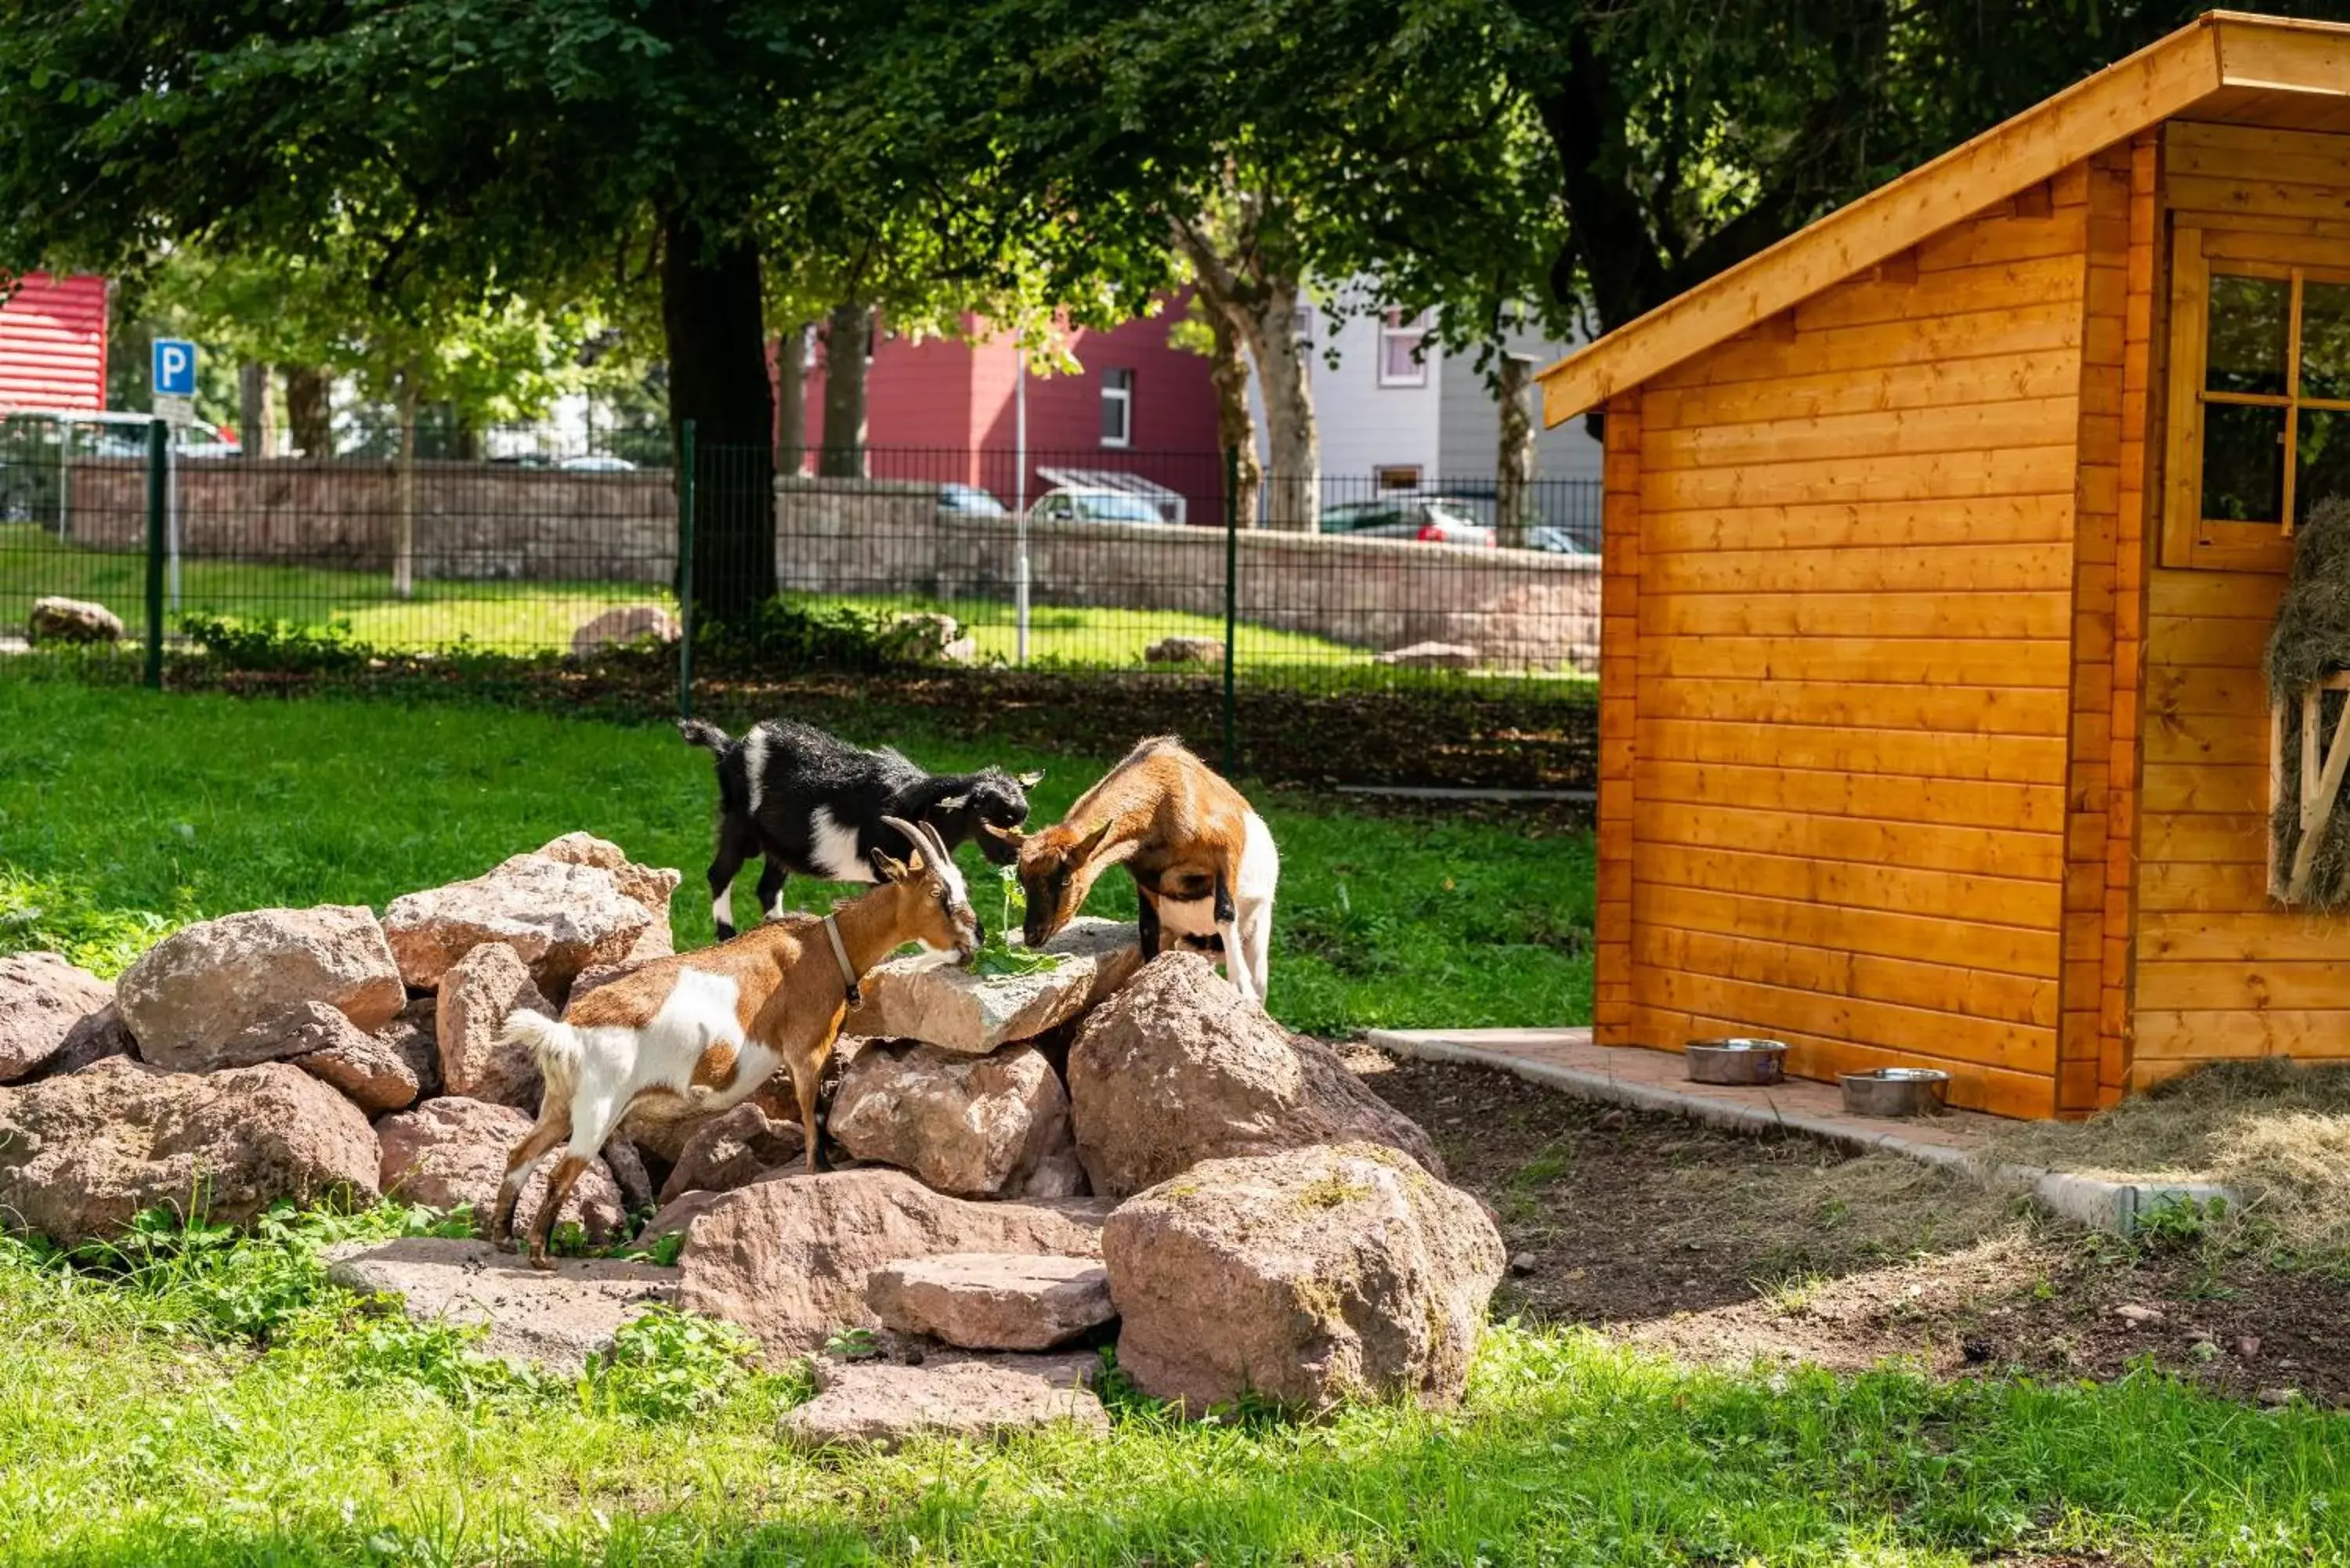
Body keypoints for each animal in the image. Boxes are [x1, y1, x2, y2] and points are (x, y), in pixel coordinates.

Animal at [491, 818, 978, 1269]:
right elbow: (813, 1117)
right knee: (561, 1171)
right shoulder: (808, 1050)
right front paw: (820, 1173)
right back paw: (540, 1255)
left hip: (560, 1101)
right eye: (938, 892)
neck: (825, 947)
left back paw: (502, 1237)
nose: (976, 939)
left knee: (520, 1155)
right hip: (600, 1105)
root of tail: (564, 1032)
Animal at [686, 719, 1043, 940]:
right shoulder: (884, 868)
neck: (913, 805)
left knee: (768, 889)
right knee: (720, 874)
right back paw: (727, 935)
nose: (1012, 854)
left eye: (1020, 817)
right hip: (738, 825)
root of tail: (730, 747)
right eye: (985, 814)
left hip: (781, 844)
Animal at [992, 738, 1288, 1006]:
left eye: (1065, 879)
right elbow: (1147, 931)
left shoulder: (1227, 846)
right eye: (1022, 880)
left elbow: (1224, 913)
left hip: (1259, 929)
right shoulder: (1146, 882)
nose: (1032, 935)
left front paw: (1241, 987)